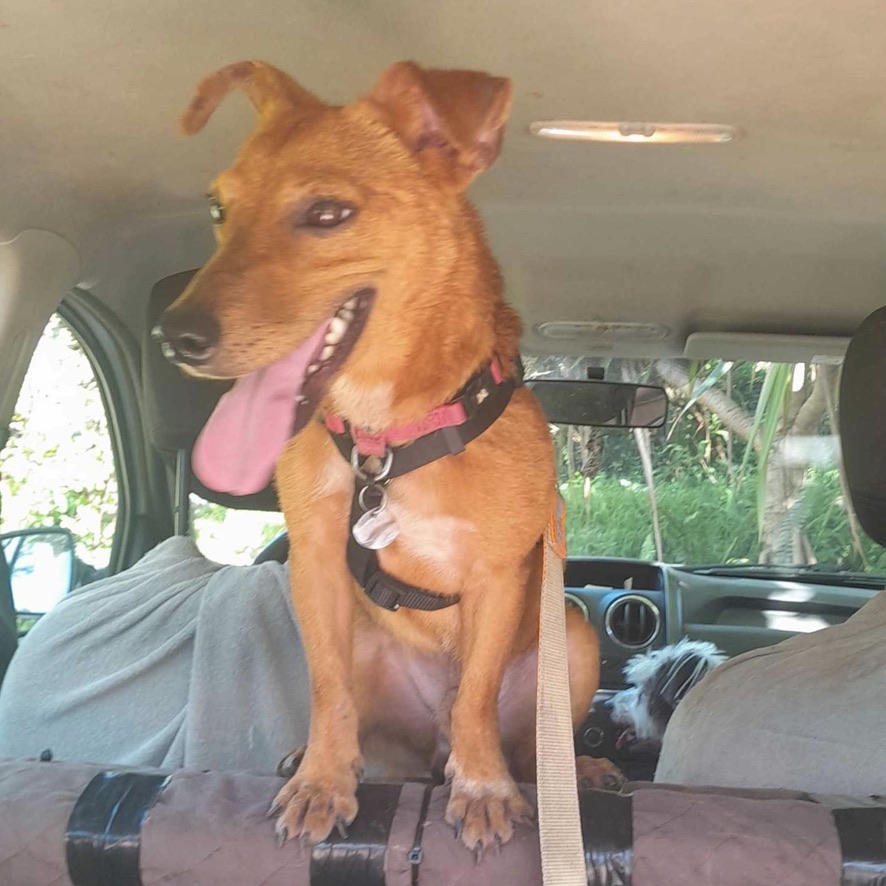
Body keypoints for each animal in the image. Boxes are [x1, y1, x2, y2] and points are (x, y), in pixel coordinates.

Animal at [156, 60, 620, 852]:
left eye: (327, 214)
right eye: (218, 210)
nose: (171, 336)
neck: (392, 439)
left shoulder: (498, 576)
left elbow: (476, 697)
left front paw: (484, 787)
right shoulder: (314, 563)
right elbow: (327, 689)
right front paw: (322, 780)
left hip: (576, 636)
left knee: (524, 744)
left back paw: (571, 773)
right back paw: (321, 760)